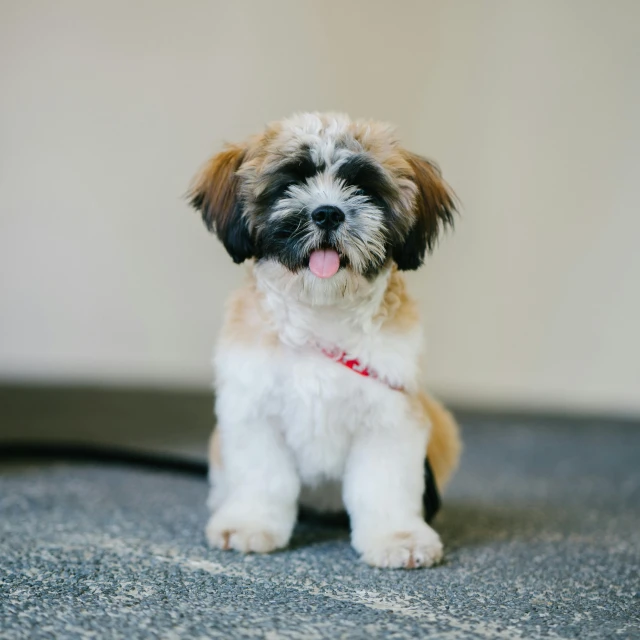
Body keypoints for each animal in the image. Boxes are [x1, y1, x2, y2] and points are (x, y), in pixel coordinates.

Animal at [188, 112, 462, 568]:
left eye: (363, 187)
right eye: (291, 182)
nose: (328, 213)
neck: (320, 316)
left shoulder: (390, 415)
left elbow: (384, 485)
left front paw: (398, 536)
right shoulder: (254, 410)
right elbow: (263, 477)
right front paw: (249, 523)